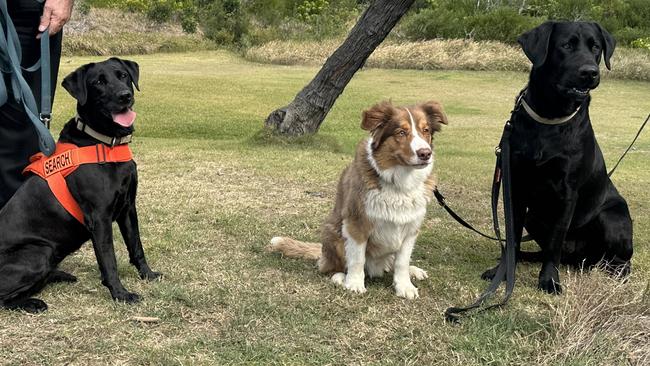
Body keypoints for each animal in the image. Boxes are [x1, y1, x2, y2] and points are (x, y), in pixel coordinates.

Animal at [0, 58, 159, 314]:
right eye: (98, 83)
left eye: (123, 75)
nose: (125, 96)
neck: (105, 143)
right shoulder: (99, 218)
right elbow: (109, 259)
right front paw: (120, 294)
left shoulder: (128, 208)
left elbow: (136, 245)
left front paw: (148, 274)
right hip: (39, 251)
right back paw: (33, 302)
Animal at [268, 99, 446, 298]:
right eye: (401, 132)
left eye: (426, 131)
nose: (425, 153)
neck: (400, 182)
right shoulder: (356, 223)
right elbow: (357, 258)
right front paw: (353, 283)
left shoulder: (411, 229)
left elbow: (402, 262)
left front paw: (404, 286)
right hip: (333, 233)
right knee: (329, 266)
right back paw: (339, 277)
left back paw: (413, 270)